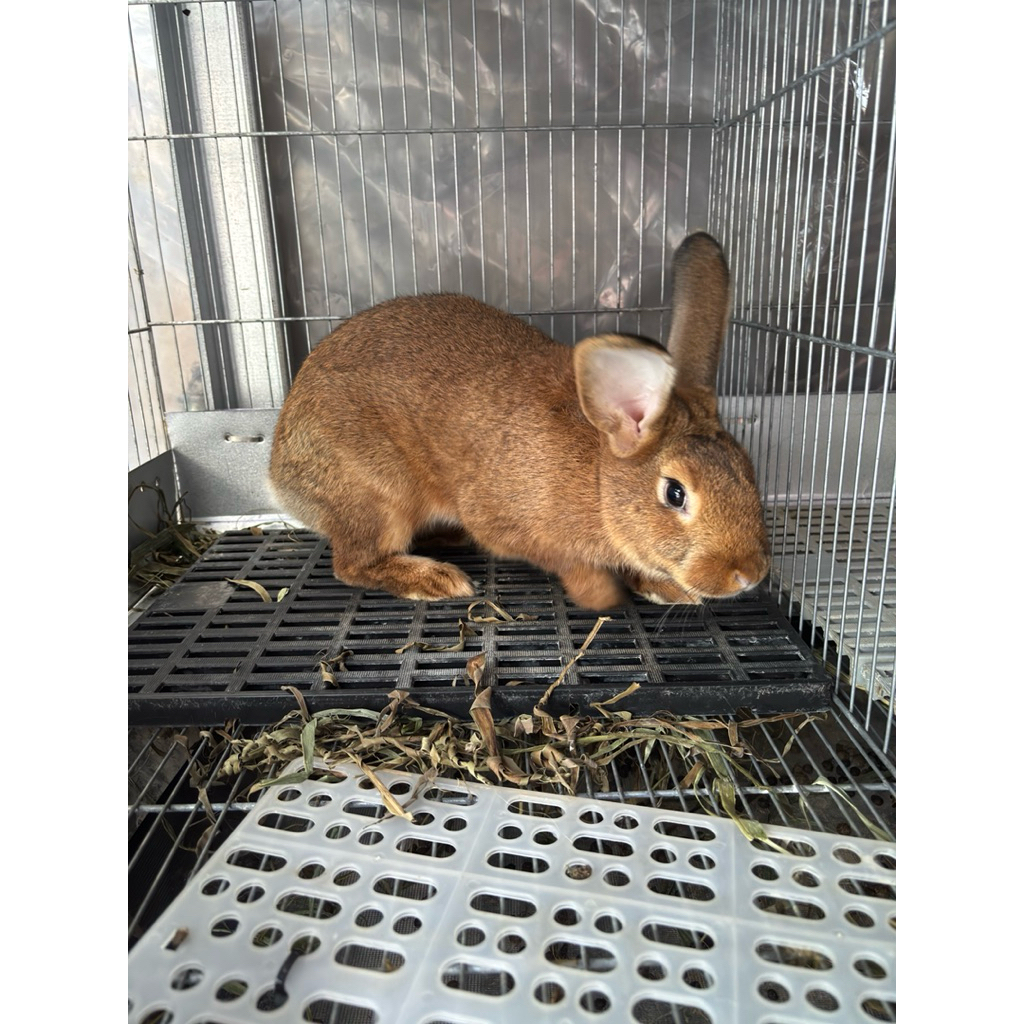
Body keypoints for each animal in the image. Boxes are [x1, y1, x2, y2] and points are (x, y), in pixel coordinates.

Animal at [268, 232, 770, 611]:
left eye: (749, 471)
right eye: (675, 494)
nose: (750, 575)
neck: (599, 482)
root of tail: (278, 472)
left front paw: (665, 588)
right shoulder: (508, 521)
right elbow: (566, 563)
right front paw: (600, 595)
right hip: (380, 494)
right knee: (352, 564)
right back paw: (434, 579)